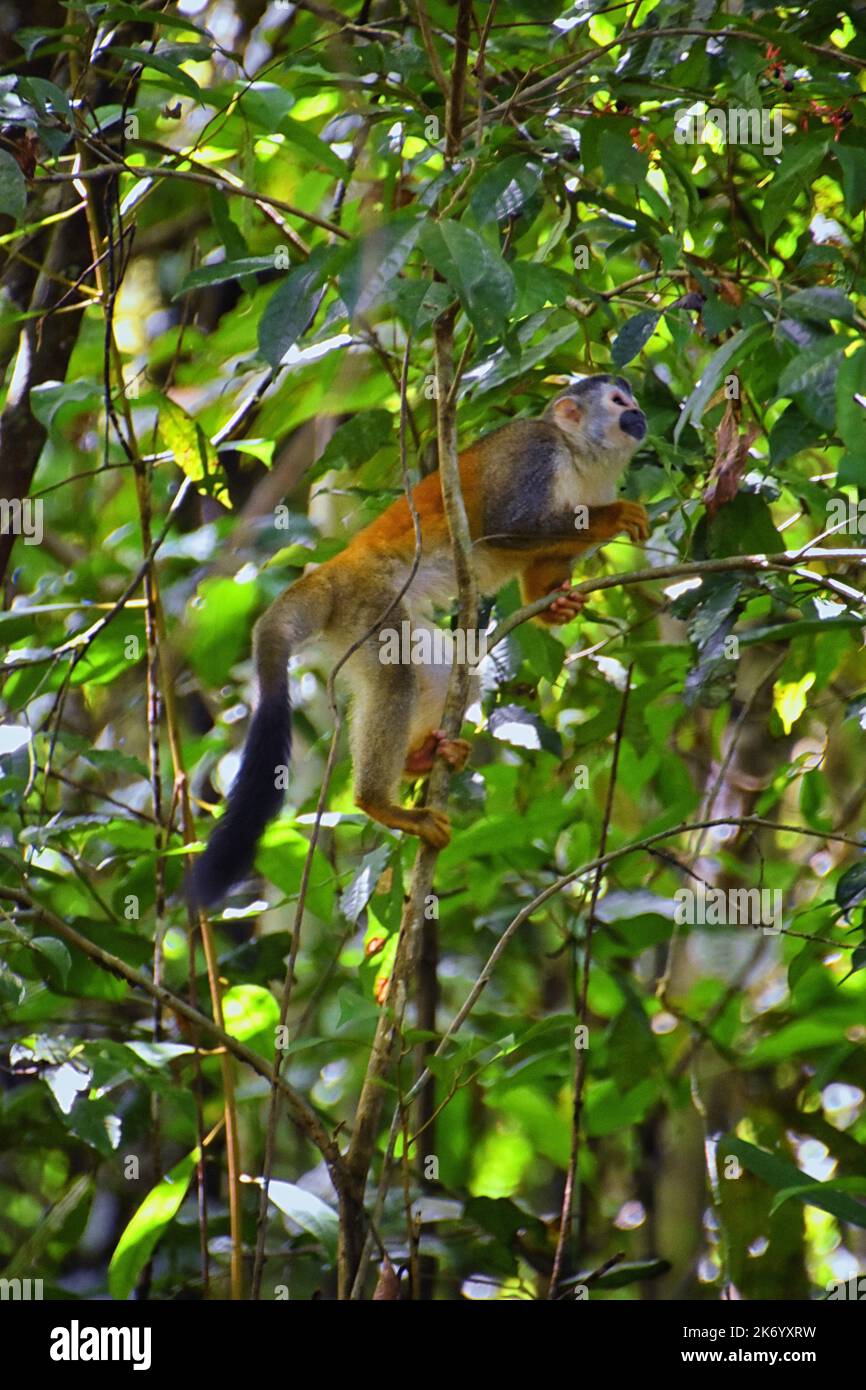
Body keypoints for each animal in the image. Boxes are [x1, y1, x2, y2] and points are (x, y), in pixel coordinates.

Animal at [193, 374, 649, 905]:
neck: (578, 455)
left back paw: (419, 758)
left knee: (452, 677)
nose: (639, 413)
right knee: (396, 679)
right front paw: (613, 515)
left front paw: (556, 604)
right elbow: (507, 529)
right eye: (618, 402)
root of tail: (337, 569)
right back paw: (379, 802)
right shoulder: (535, 452)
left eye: (631, 399)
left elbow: (538, 569)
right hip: (370, 606)